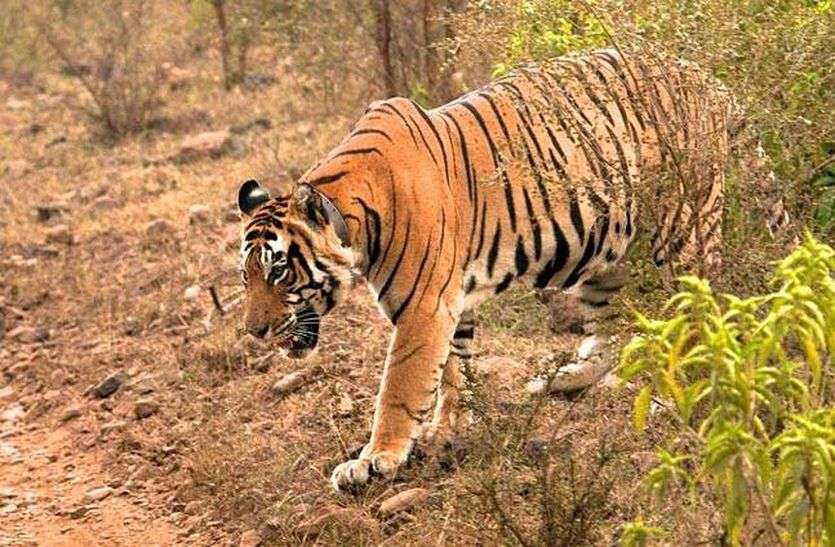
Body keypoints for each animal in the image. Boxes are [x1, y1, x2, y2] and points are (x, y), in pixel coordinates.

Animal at [236, 47, 788, 491]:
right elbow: (452, 368)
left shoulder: (422, 307)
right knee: (608, 328)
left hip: (682, 232)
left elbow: (400, 385)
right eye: (247, 277)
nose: (255, 332)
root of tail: (702, 76)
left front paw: (376, 460)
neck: (357, 217)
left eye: (279, 271)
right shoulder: (450, 300)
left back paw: (684, 392)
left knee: (700, 313)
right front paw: (447, 429)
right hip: (605, 252)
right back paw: (560, 380)